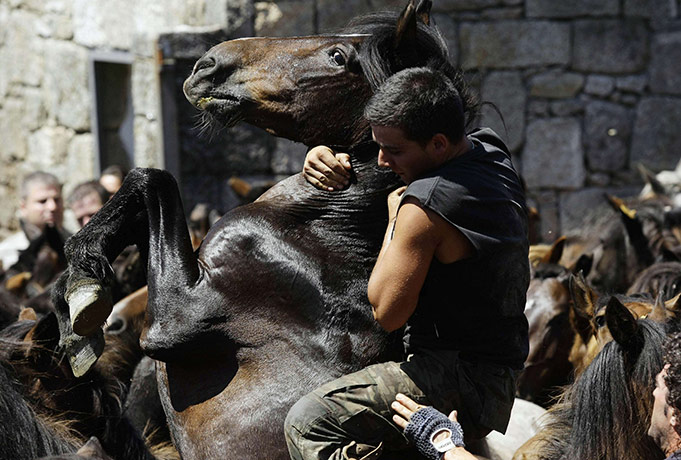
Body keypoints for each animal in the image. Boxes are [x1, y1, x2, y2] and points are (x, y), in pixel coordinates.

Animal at [52, 1, 481, 458]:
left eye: (337, 57)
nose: (209, 64)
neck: (326, 234)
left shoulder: (176, 316)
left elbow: (151, 179)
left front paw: (82, 290)